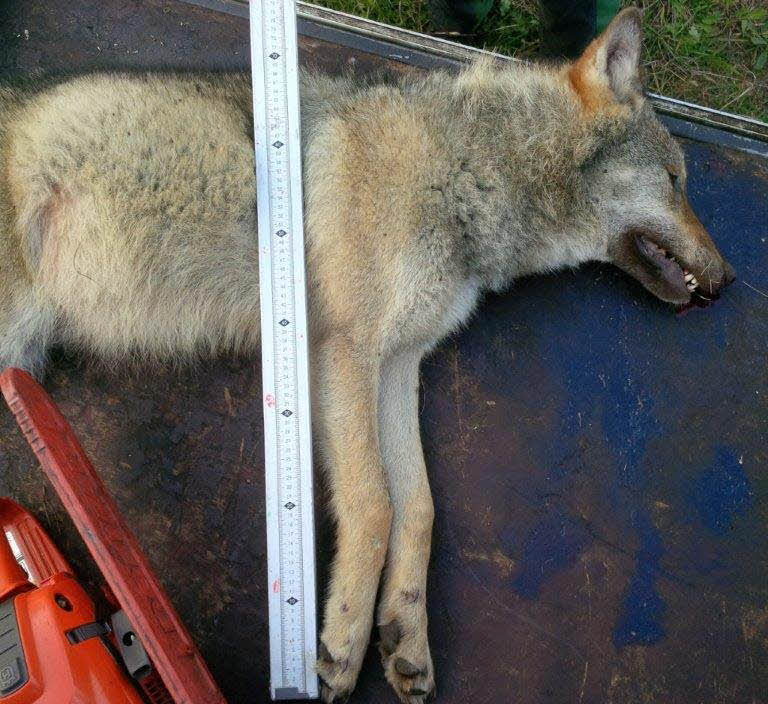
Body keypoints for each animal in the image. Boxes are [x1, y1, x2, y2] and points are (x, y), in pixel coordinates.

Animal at [0, 8, 734, 702]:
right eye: (675, 180)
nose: (728, 281)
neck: (466, 168)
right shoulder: (347, 351)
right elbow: (376, 505)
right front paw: (342, 644)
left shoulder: (399, 365)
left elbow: (420, 509)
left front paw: (406, 635)